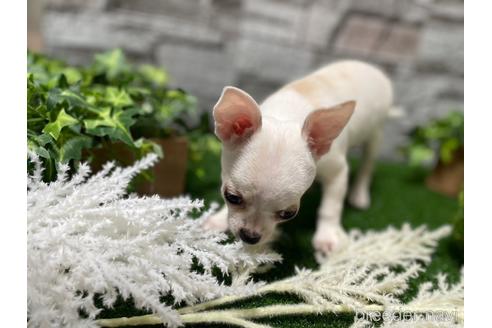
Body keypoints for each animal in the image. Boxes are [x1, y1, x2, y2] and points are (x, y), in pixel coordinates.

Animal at [203, 60, 392, 254]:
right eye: (231, 197)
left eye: (288, 214)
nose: (250, 236)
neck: (286, 115)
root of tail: (368, 66)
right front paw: (218, 219)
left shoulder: (338, 171)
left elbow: (331, 207)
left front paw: (327, 236)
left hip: (376, 134)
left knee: (367, 164)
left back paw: (359, 193)